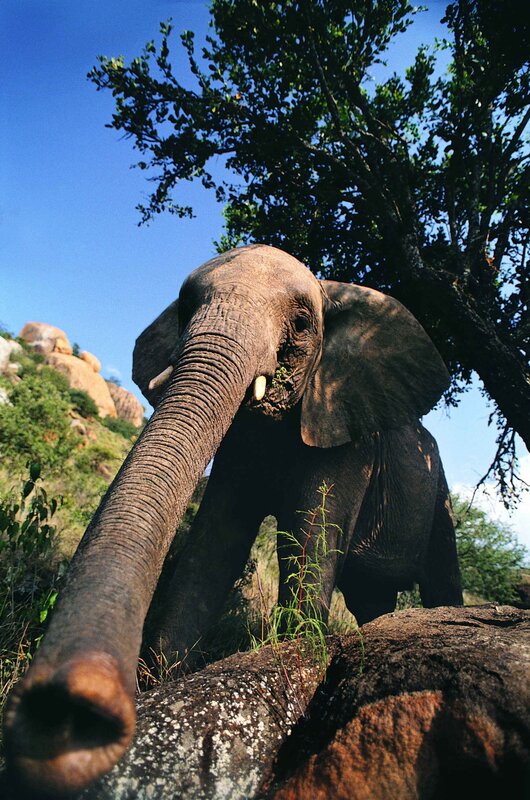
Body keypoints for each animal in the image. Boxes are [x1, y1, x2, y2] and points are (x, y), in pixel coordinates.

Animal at [4, 244, 462, 798]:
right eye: (184, 309)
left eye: (302, 323)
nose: (62, 716)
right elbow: (214, 545)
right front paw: (163, 681)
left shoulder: (344, 434)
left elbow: (308, 540)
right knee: (371, 600)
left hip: (439, 492)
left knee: (441, 575)